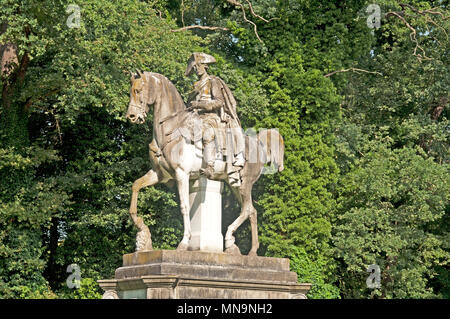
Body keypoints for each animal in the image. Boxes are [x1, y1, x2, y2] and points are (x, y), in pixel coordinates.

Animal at [125, 70, 284, 258]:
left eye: (138, 90)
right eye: (131, 91)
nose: (131, 116)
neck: (170, 130)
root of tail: (258, 143)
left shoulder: (181, 174)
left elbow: (184, 206)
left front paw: (184, 243)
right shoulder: (159, 174)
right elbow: (135, 186)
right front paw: (140, 227)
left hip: (245, 183)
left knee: (246, 210)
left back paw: (230, 240)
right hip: (234, 184)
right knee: (251, 211)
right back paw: (250, 252)